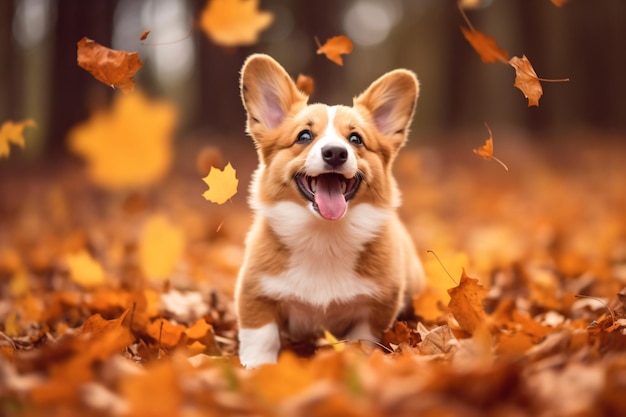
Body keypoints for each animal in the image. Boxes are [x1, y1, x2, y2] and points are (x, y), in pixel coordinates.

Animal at [235, 52, 424, 368]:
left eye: (356, 139)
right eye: (304, 136)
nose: (335, 152)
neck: (323, 235)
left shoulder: (375, 308)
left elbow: (362, 339)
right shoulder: (255, 293)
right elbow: (261, 338)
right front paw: (258, 369)